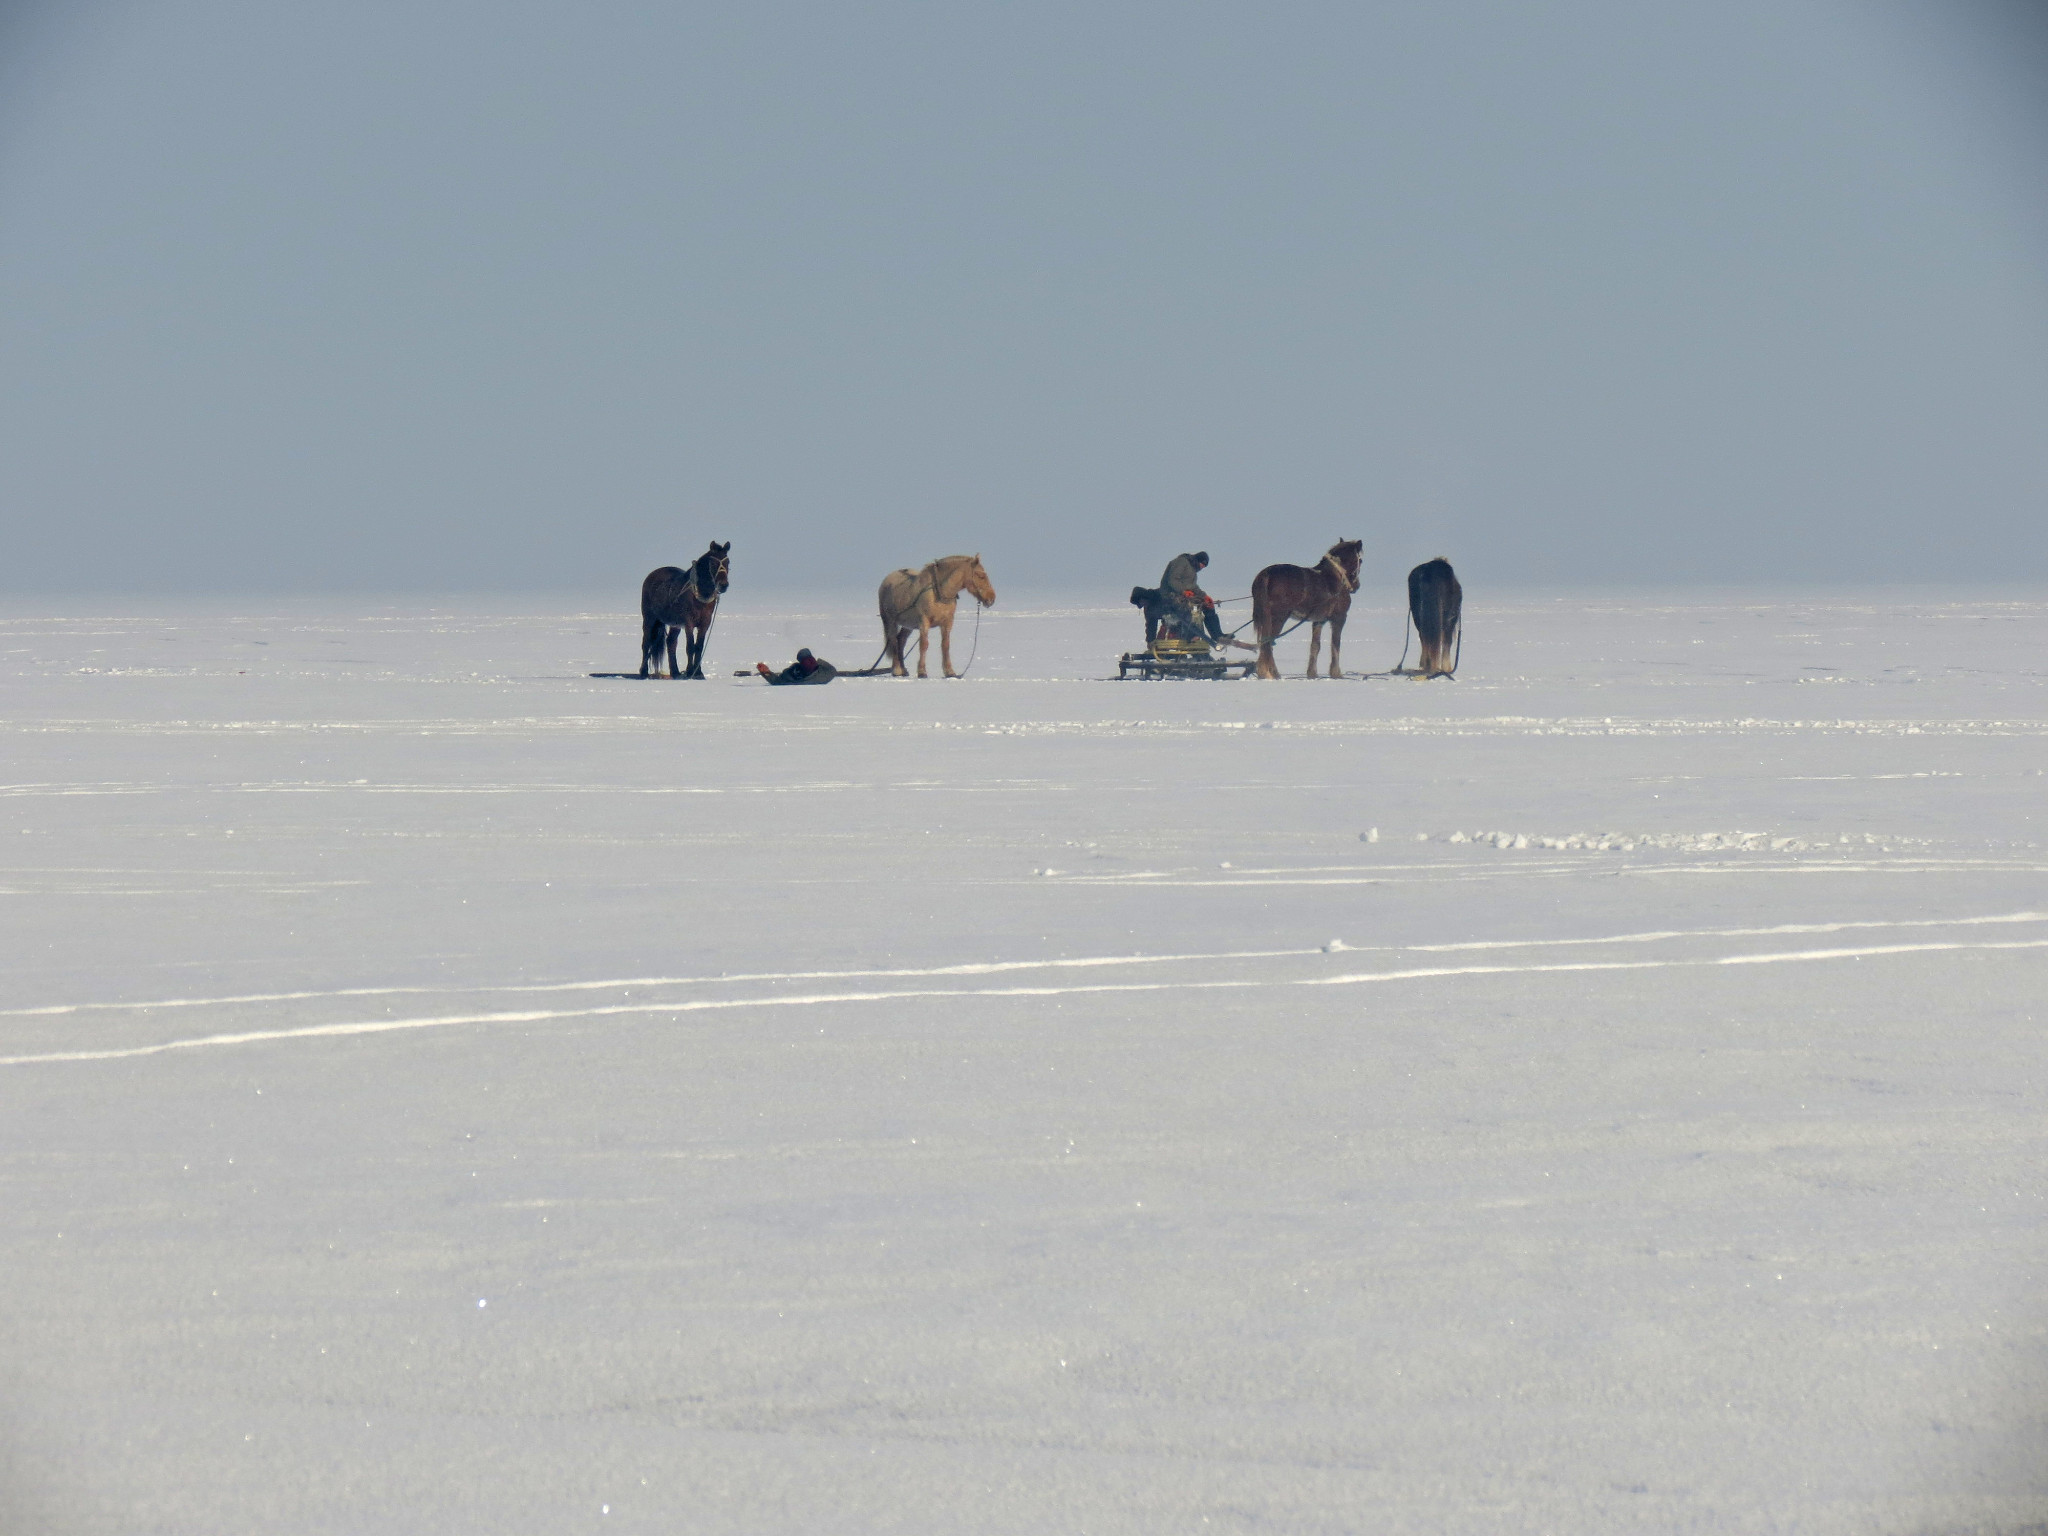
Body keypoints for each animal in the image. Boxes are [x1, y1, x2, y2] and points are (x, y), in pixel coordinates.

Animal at [643, 544, 741, 684]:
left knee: (671, 642)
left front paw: (698, 673)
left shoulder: (705, 624)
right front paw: (690, 672)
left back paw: (676, 672)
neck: (699, 597)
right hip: (649, 618)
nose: (723, 585)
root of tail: (651, 575)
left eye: (727, 562)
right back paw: (643, 672)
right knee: (646, 643)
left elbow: (699, 647)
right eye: (713, 563)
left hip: (675, 624)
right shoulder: (688, 623)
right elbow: (690, 647)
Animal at [1245, 544, 1359, 684]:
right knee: (1268, 643)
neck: (1337, 578)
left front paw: (1312, 673)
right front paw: (1336, 673)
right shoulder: (1339, 618)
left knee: (1265, 644)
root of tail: (1266, 574)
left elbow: (1315, 646)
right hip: (1279, 617)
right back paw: (1272, 673)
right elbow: (1335, 644)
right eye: (1359, 560)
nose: (1356, 586)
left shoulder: (1319, 620)